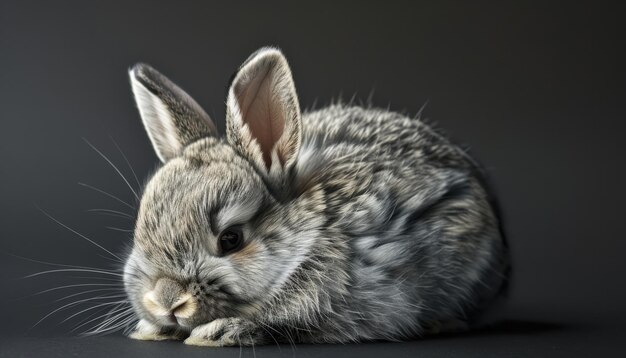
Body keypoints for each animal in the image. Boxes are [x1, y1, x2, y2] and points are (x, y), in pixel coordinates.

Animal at [124, 46, 510, 346]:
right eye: (139, 232)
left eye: (231, 239)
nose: (167, 300)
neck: (306, 240)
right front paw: (150, 329)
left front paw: (217, 333)